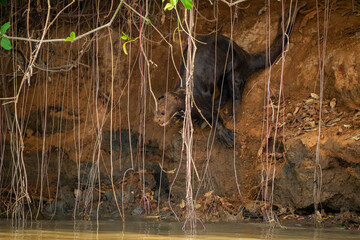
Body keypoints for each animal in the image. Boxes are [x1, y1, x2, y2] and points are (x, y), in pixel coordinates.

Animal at [153, 2, 306, 146]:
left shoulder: (201, 104)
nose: (157, 119)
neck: (187, 97)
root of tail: (245, 56)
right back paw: (218, 102)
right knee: (224, 89)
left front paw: (225, 135)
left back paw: (234, 113)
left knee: (235, 91)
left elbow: (215, 117)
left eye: (163, 111)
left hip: (234, 69)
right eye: (156, 110)